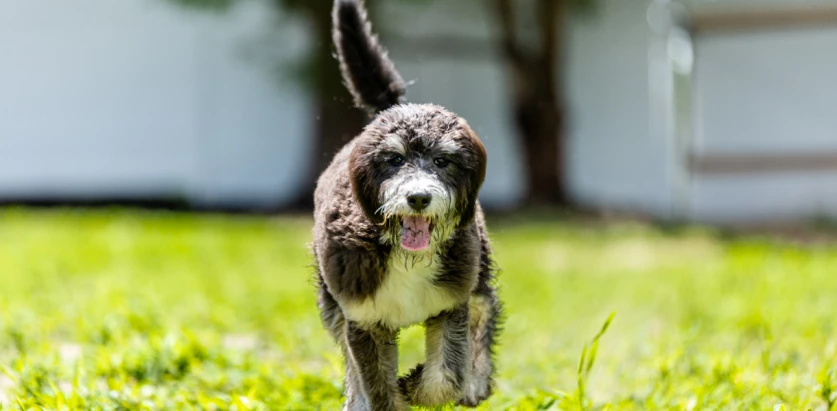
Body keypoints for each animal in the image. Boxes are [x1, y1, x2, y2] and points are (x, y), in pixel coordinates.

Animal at [310, 1, 500, 410]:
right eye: (394, 160)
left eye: (442, 161)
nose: (418, 198)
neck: (402, 253)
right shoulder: (363, 319)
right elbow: (376, 386)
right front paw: (389, 393)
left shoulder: (450, 304)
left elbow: (446, 377)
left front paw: (415, 386)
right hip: (331, 301)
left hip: (475, 265)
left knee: (485, 308)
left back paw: (476, 382)